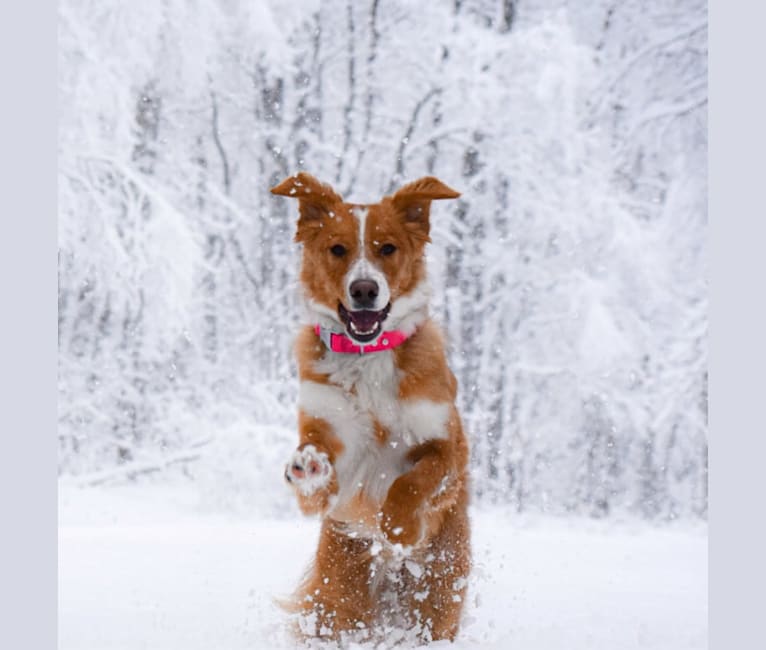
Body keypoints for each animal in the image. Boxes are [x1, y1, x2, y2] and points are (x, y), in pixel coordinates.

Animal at [270, 173, 474, 644]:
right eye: (337, 249)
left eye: (388, 248)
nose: (365, 290)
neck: (368, 356)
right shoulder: (334, 442)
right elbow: (320, 479)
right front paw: (309, 468)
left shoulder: (449, 447)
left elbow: (416, 479)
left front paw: (398, 527)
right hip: (340, 593)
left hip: (438, 591)